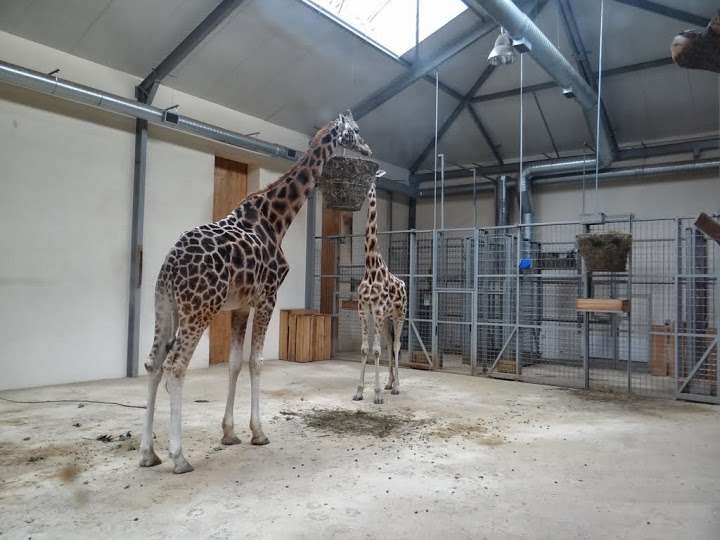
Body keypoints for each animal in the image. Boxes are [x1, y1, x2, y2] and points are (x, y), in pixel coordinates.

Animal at [139, 111, 371, 474]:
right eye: (356, 130)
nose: (368, 148)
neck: (276, 219)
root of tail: (170, 267)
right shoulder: (268, 296)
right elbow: (257, 362)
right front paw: (259, 432)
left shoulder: (240, 306)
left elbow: (235, 363)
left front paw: (229, 433)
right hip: (199, 309)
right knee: (175, 367)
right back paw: (179, 457)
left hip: (164, 307)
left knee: (153, 363)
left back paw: (149, 453)